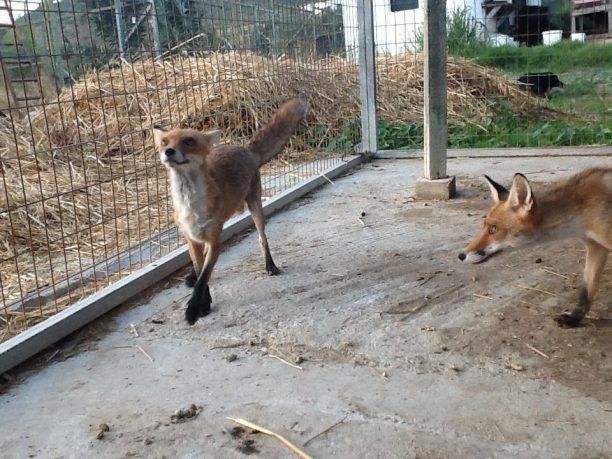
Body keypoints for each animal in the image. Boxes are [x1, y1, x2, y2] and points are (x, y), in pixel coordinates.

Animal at [152, 96, 306, 326]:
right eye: (164, 142)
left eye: (189, 141)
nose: (168, 151)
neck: (191, 203)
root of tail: (245, 149)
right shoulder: (193, 238)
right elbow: (201, 273)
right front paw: (203, 303)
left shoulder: (215, 240)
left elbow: (203, 278)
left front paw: (194, 309)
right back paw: (191, 276)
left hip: (256, 209)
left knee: (262, 239)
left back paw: (270, 265)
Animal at [460, 169, 612, 328]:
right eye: (484, 227)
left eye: (493, 229)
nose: (460, 255)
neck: (581, 209)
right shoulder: (596, 246)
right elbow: (585, 292)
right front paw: (573, 319)